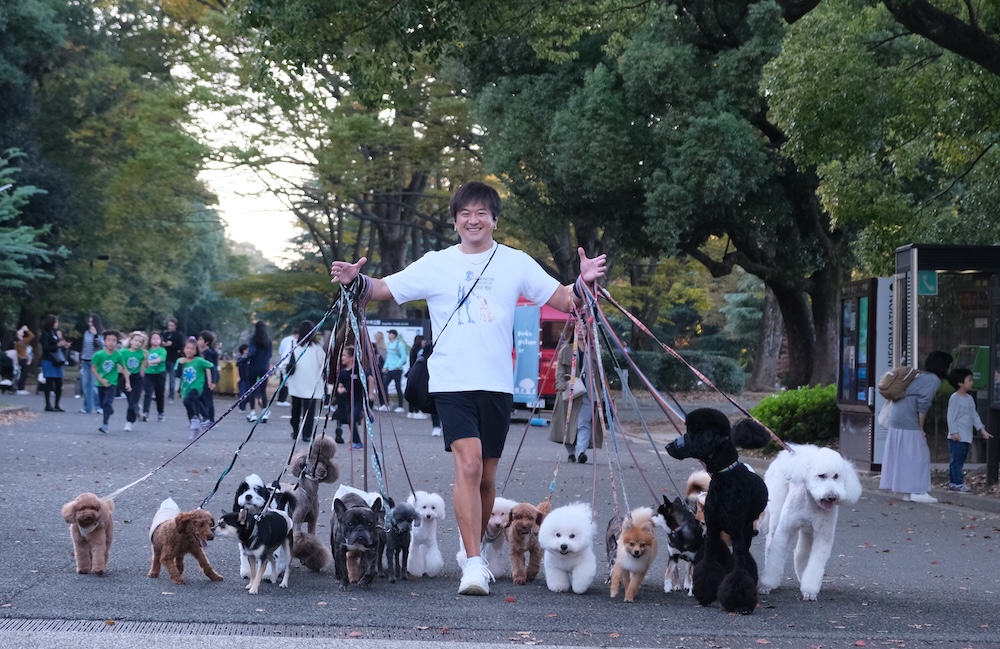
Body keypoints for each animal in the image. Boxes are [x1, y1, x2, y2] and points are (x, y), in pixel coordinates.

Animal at [756, 442, 860, 600]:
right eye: (821, 476)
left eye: (836, 476)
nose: (832, 496)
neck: (812, 502)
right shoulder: (786, 530)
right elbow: (777, 553)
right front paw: (768, 583)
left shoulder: (823, 535)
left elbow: (815, 563)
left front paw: (809, 590)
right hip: (777, 512)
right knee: (770, 543)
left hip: (808, 530)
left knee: (801, 551)